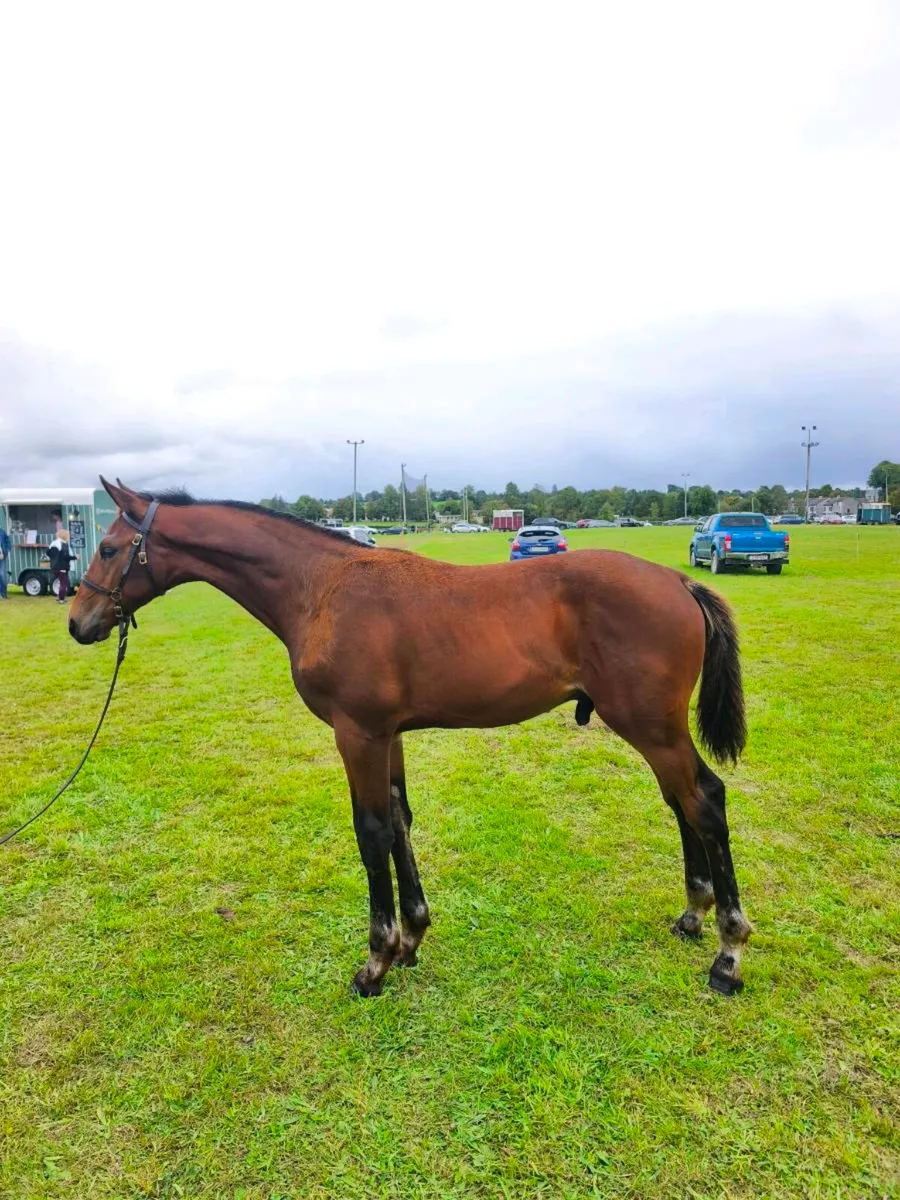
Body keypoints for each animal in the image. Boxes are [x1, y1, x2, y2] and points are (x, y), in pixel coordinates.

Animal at [68, 478, 753, 998]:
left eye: (109, 547)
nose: (78, 621)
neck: (321, 588)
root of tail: (678, 581)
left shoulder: (358, 734)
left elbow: (371, 833)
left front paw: (376, 961)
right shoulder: (387, 735)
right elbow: (399, 821)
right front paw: (414, 937)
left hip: (650, 725)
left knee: (704, 801)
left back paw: (728, 952)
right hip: (654, 729)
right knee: (681, 802)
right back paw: (693, 915)